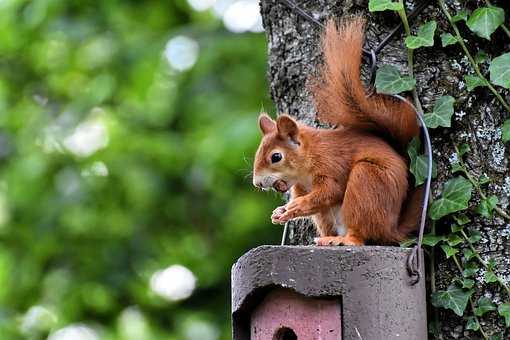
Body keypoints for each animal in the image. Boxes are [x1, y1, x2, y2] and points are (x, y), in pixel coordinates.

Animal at [252, 16, 422, 244]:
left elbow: (330, 191)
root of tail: (391, 229)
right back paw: (325, 239)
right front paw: (281, 210)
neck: (305, 166)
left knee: (358, 237)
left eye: (276, 157)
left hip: (367, 182)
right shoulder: (300, 186)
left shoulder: (331, 163)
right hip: (326, 216)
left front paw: (296, 206)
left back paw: (341, 240)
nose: (257, 183)